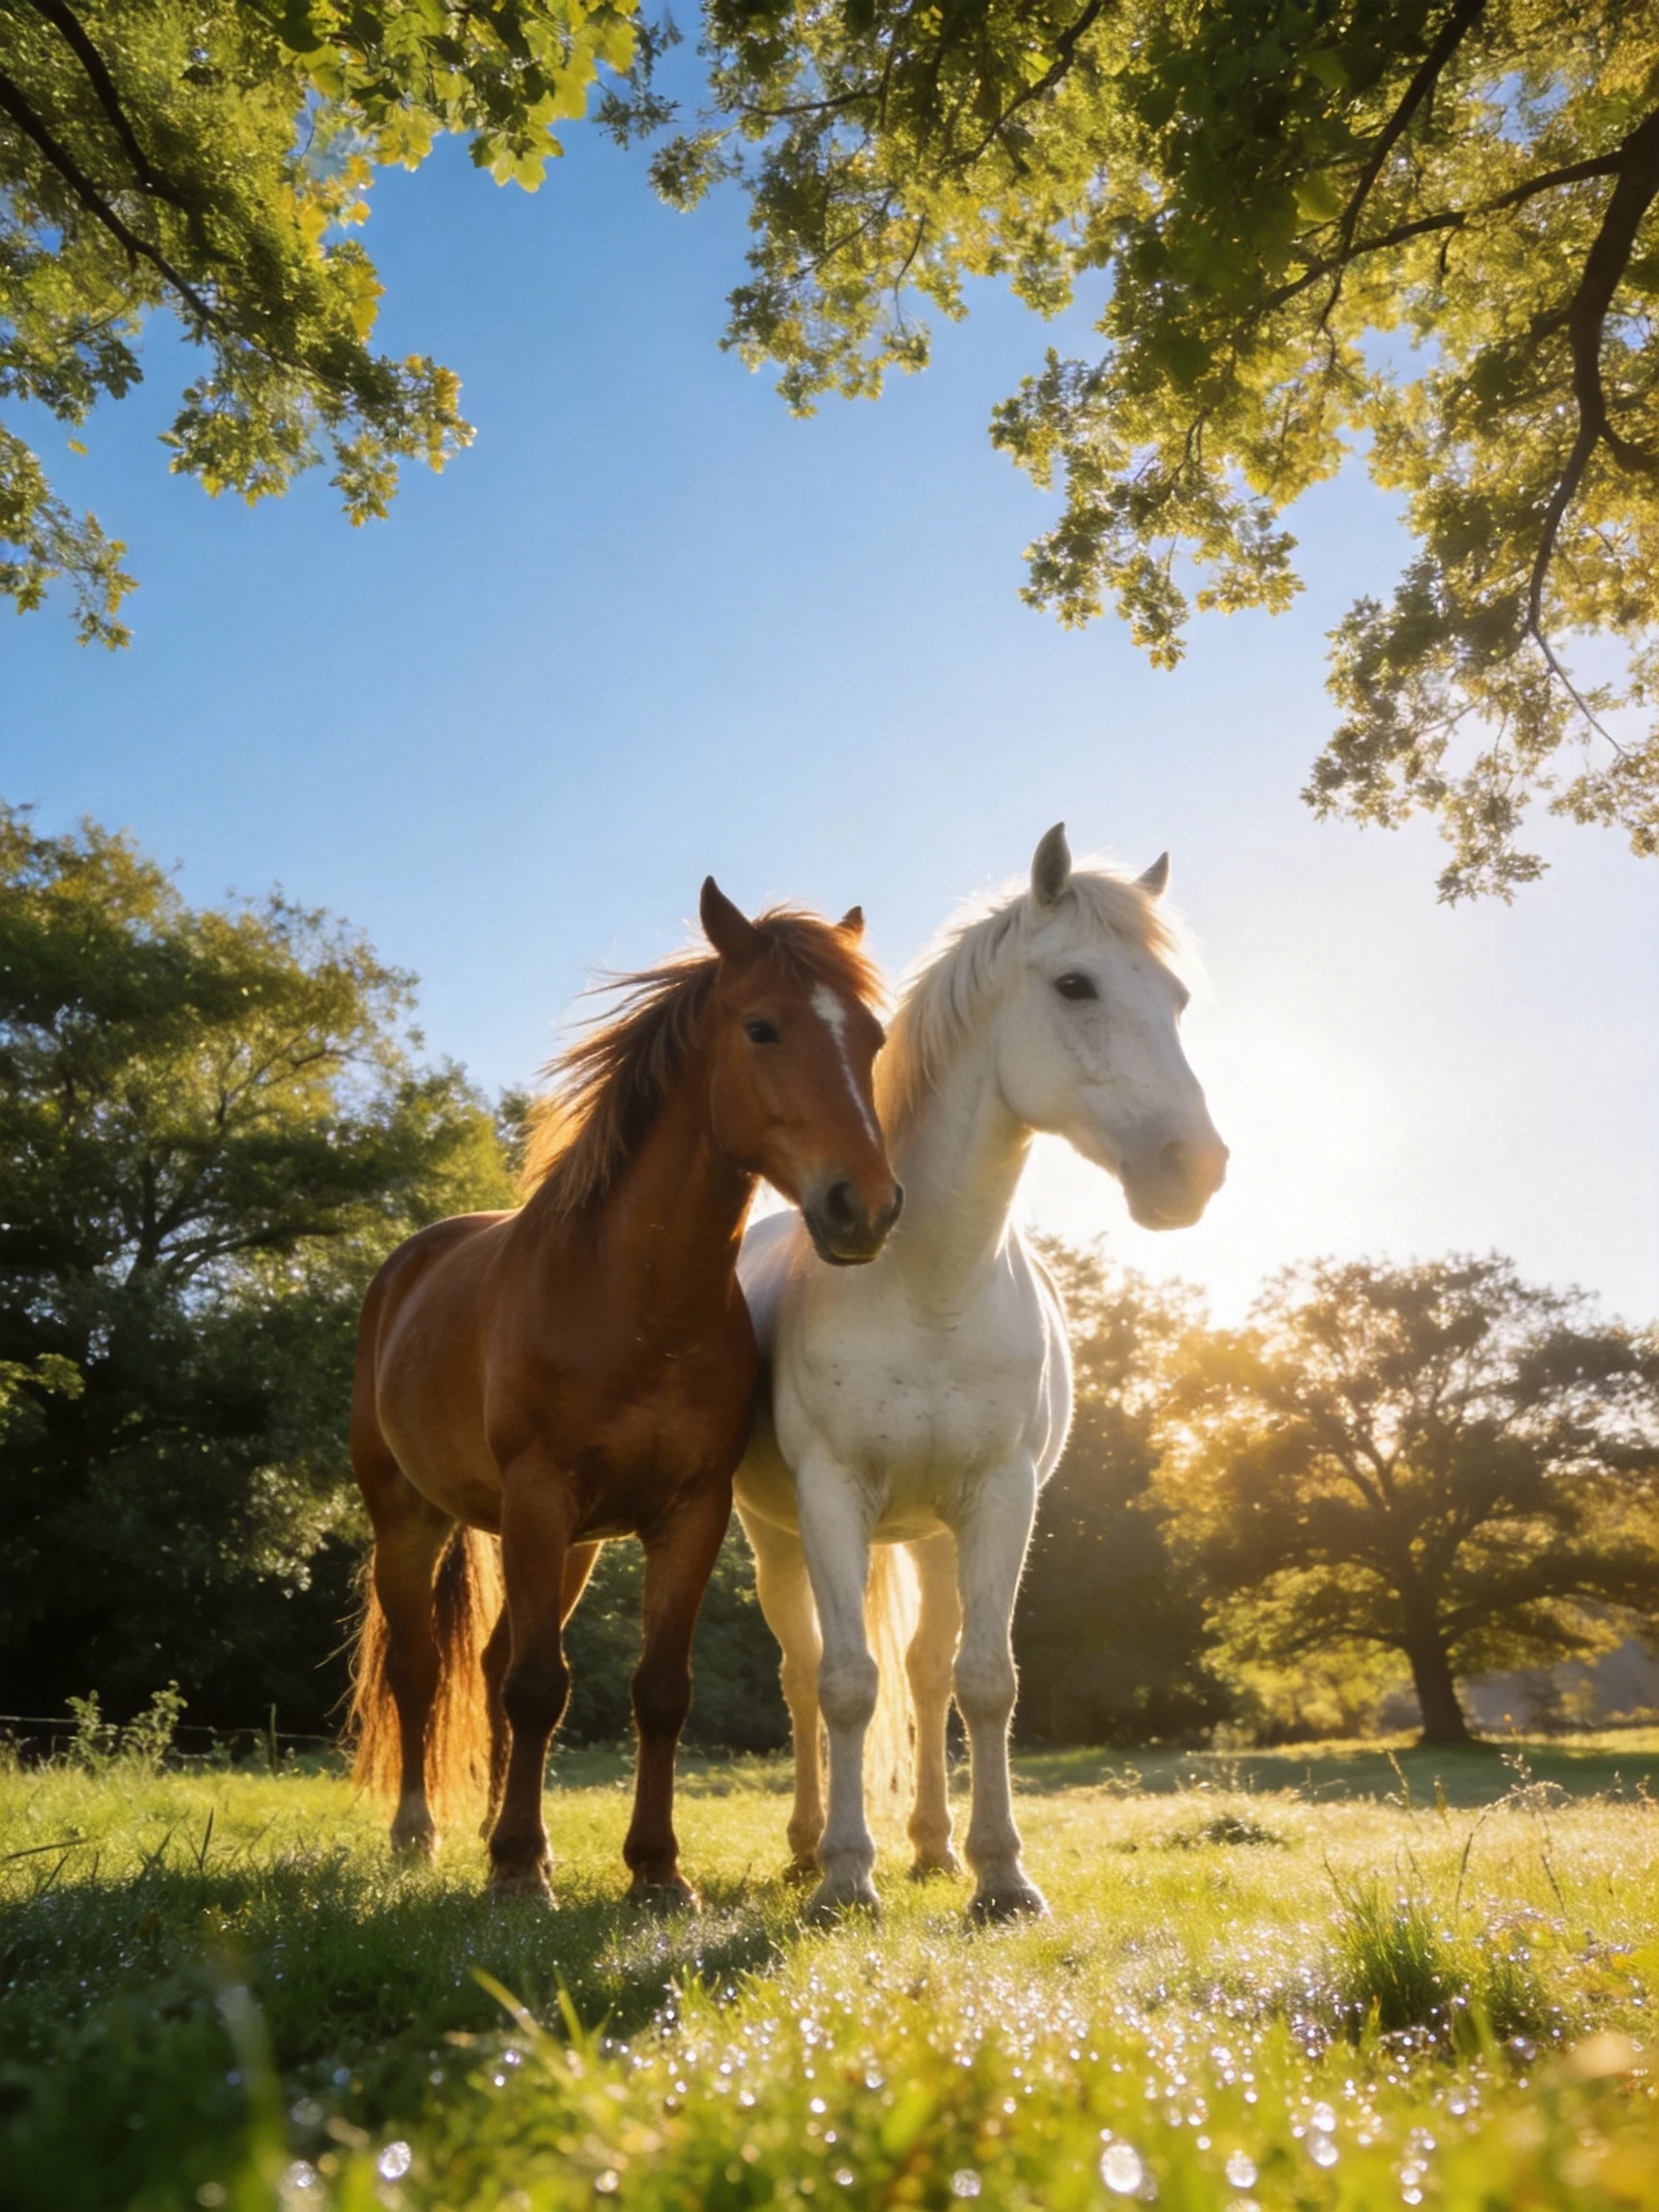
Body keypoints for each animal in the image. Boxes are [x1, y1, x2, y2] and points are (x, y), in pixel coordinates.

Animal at [348, 878, 901, 1904]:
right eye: (762, 1028)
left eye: (872, 1039)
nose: (868, 1208)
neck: (633, 1299)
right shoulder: (538, 1493)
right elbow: (538, 1687)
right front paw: (518, 1873)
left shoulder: (688, 1512)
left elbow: (657, 1690)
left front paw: (653, 1869)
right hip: (409, 1516)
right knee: (421, 1668)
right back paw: (423, 1835)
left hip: (564, 1545)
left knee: (493, 1658)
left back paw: (501, 1829)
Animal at [733, 826, 1228, 1921]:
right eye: (1077, 984)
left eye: (1181, 1001)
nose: (1195, 1169)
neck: (929, 1284)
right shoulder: (832, 1498)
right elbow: (845, 1684)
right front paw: (845, 1878)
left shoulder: (999, 1499)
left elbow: (984, 1681)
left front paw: (1000, 1876)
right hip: (777, 1538)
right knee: (802, 1674)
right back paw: (806, 1847)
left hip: (927, 1538)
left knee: (925, 1672)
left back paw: (928, 1847)